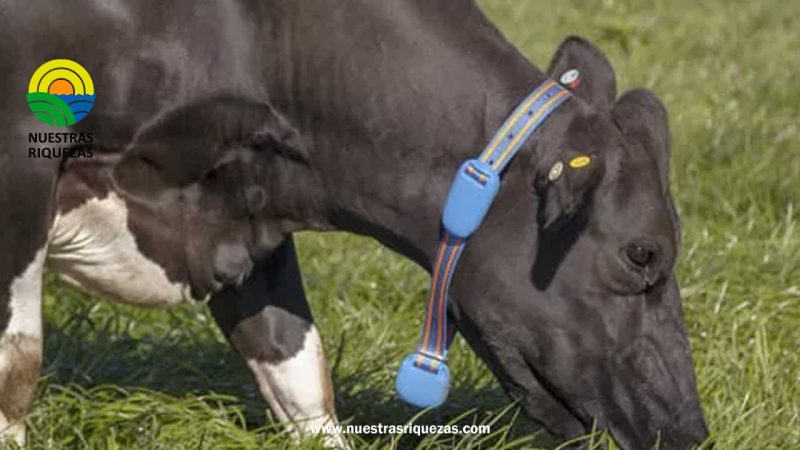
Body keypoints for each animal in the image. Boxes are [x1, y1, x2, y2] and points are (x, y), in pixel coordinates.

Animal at [0, 1, 710, 448]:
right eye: (642, 254)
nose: (689, 430)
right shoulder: (20, 158)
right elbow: (19, 365)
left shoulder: (244, 207)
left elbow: (300, 371)